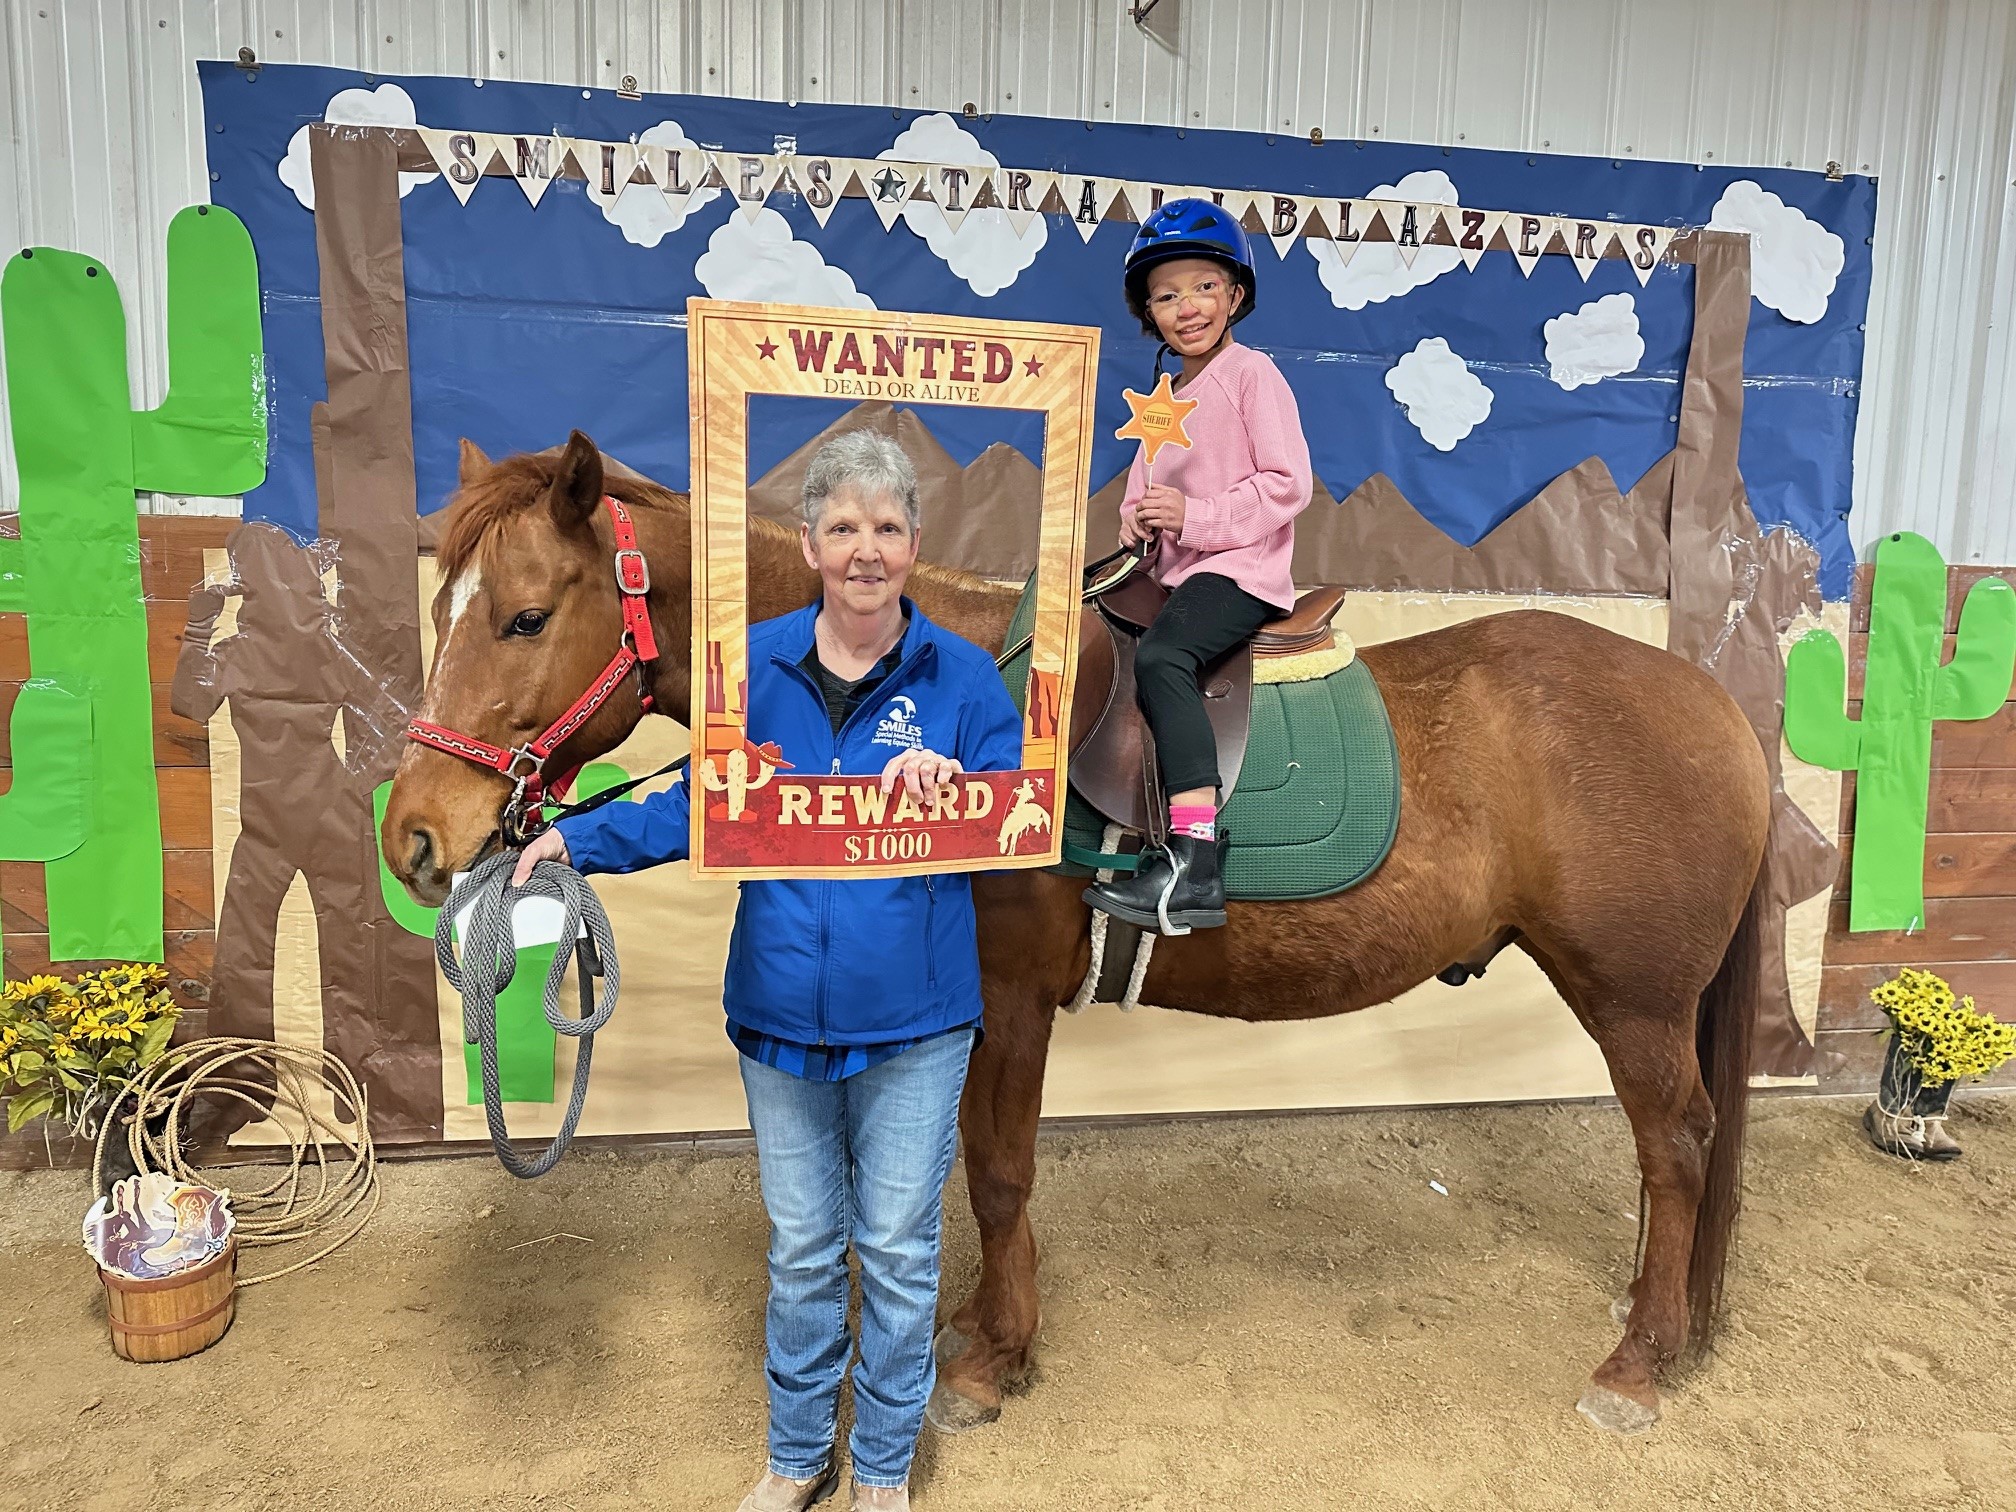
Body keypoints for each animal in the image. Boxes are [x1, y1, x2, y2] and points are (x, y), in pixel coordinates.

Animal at [383, 432, 1770, 1435]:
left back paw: (1638, 1359)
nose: (416, 839)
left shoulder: (1006, 996)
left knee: (1677, 1148)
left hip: (1635, 998)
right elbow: (971, 1170)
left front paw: (993, 1357)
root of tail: (1708, 698)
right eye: (442, 608)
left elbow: (998, 1174)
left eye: (520, 617)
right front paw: (982, 1330)